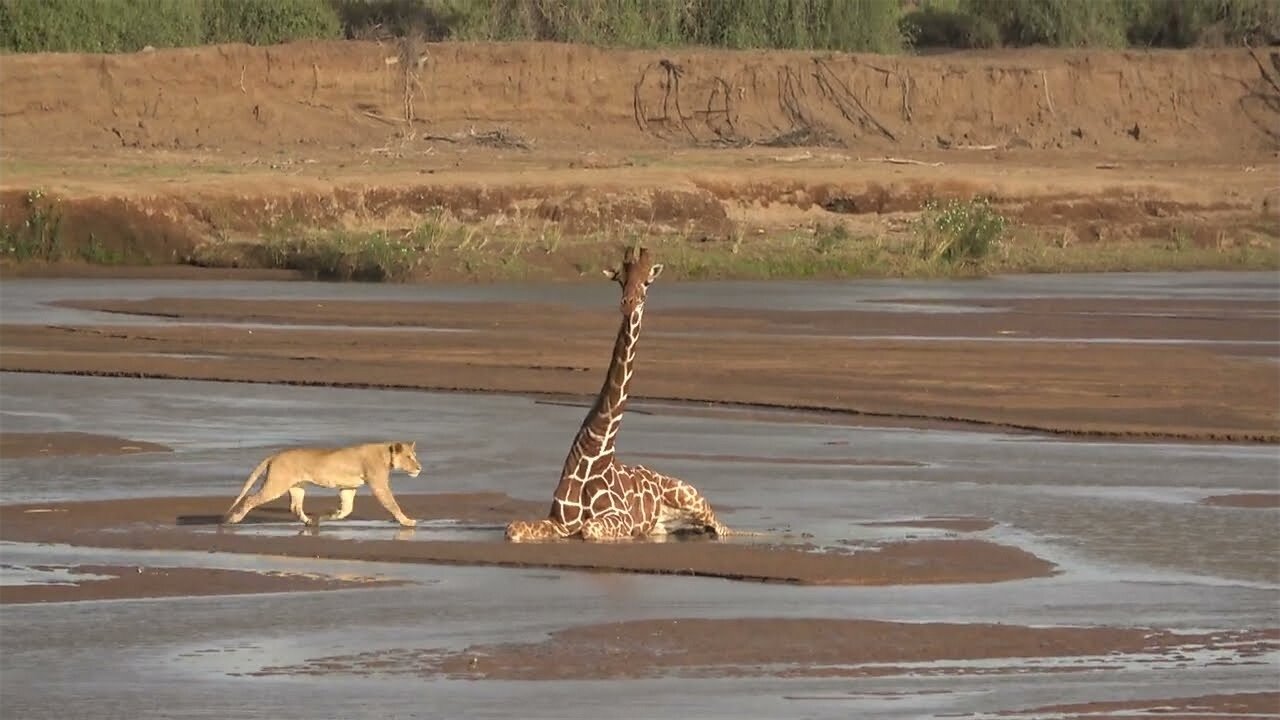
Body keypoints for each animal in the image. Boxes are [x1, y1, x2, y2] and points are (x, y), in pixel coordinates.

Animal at [218, 438, 419, 527]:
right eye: (409, 457)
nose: (419, 468)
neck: (386, 454)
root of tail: (275, 455)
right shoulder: (379, 485)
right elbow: (392, 504)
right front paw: (407, 521)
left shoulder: (348, 487)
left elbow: (347, 509)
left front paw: (327, 516)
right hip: (276, 485)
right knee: (250, 499)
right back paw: (234, 519)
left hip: (297, 487)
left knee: (295, 507)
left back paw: (309, 521)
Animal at [504, 243, 737, 540]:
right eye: (620, 280)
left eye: (647, 281)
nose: (628, 304)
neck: (594, 453)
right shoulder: (559, 520)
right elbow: (513, 528)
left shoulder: (620, 519)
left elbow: (590, 528)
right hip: (666, 524)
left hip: (690, 495)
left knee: (723, 527)